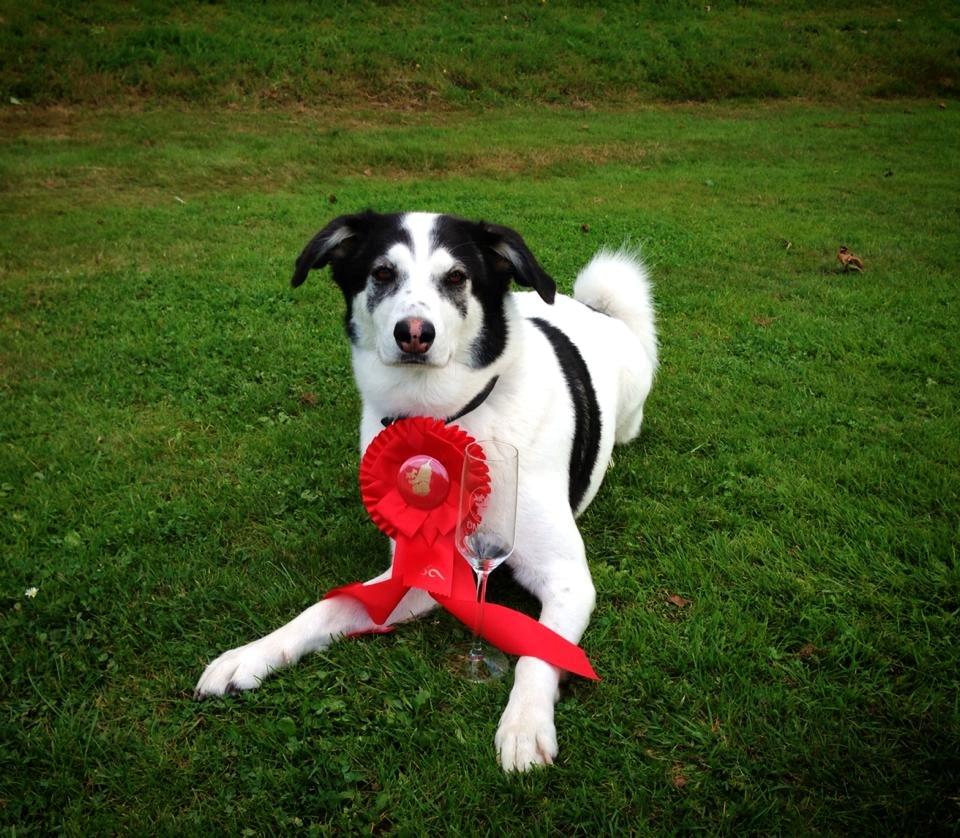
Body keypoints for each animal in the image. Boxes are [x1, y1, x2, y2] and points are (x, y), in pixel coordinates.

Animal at [195, 212, 660, 776]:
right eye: (381, 273)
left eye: (457, 277)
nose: (414, 334)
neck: (446, 420)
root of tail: (594, 309)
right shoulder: (419, 573)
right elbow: (325, 609)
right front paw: (252, 654)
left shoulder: (567, 579)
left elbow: (540, 651)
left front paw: (525, 723)